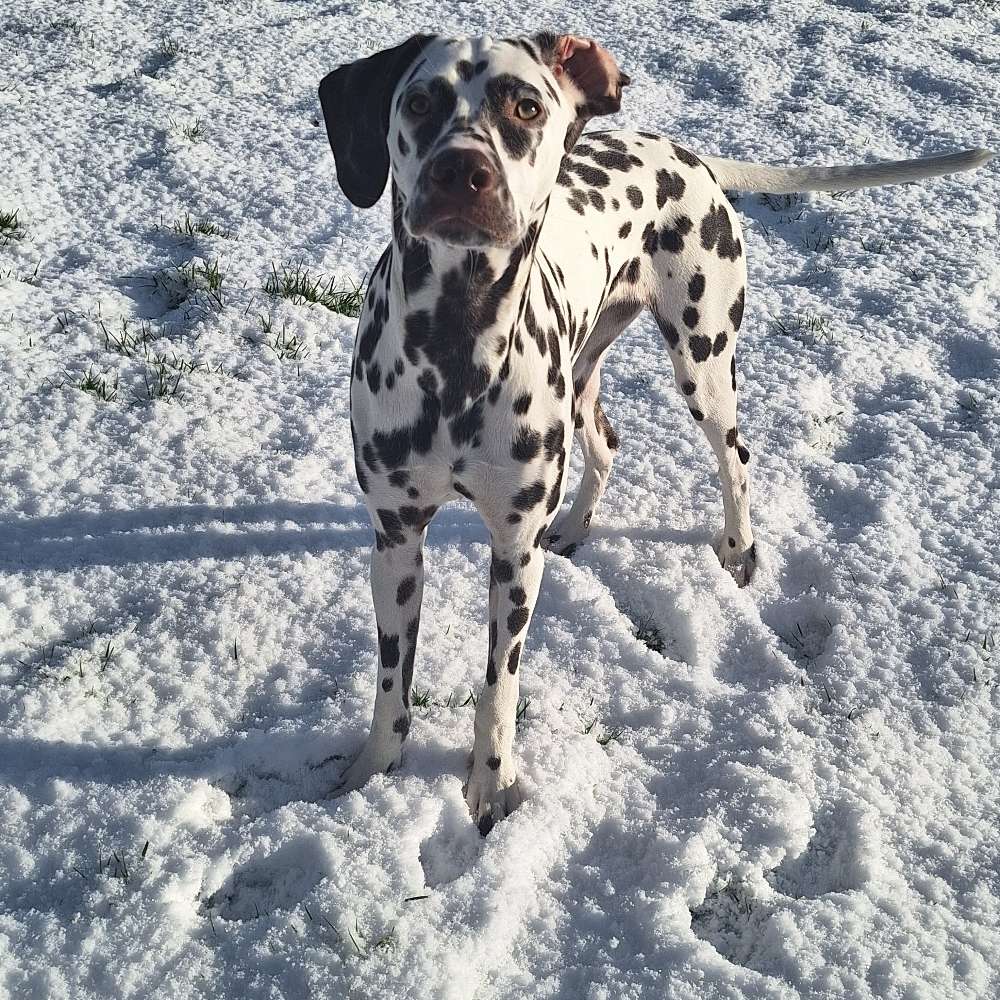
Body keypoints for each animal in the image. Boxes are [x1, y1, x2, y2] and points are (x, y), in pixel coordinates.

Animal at [318, 33, 992, 836]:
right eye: (419, 101)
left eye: (526, 106)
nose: (462, 170)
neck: (457, 351)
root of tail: (690, 155)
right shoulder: (396, 540)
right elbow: (392, 681)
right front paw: (372, 772)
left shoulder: (513, 552)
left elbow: (498, 689)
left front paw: (490, 784)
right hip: (582, 375)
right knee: (607, 444)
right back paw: (577, 524)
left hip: (703, 361)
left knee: (736, 456)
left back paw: (738, 551)